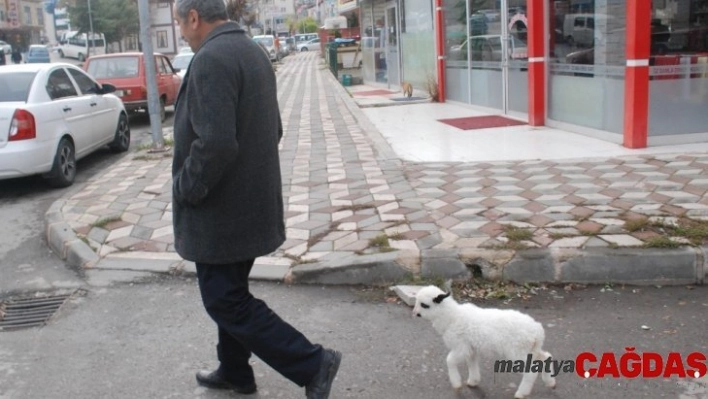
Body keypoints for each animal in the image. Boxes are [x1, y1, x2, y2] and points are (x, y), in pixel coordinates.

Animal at [412, 286, 556, 398]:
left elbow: (449, 361)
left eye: (424, 305)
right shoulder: (471, 349)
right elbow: (472, 364)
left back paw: (521, 393)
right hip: (531, 349)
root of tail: (537, 332)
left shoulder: (460, 347)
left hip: (517, 351)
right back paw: (550, 383)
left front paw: (457, 384)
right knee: (545, 357)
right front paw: (473, 381)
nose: (415, 313)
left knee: (531, 371)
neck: (451, 317)